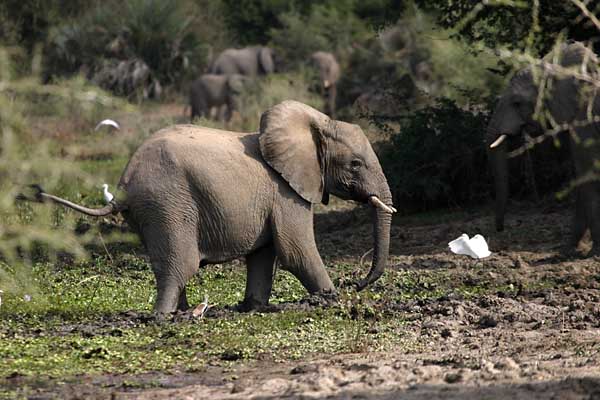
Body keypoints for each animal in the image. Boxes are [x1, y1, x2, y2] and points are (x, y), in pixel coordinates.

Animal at [23, 101, 396, 314]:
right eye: (355, 165)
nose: (356, 284)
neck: (316, 123)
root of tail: (124, 184)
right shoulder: (286, 192)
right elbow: (296, 251)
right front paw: (332, 301)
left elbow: (263, 253)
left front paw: (254, 308)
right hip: (170, 202)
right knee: (181, 262)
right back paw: (164, 319)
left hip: (152, 211)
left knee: (166, 261)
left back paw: (180, 313)